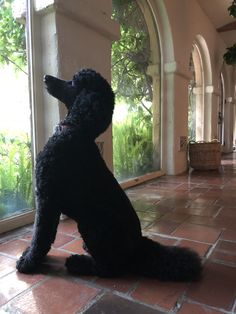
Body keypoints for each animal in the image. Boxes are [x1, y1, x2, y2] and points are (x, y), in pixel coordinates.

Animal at [16, 69, 202, 282]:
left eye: (73, 82)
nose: (46, 77)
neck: (76, 132)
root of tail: (139, 246)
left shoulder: (47, 200)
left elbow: (40, 235)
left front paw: (28, 262)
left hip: (92, 227)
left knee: (109, 268)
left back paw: (79, 263)